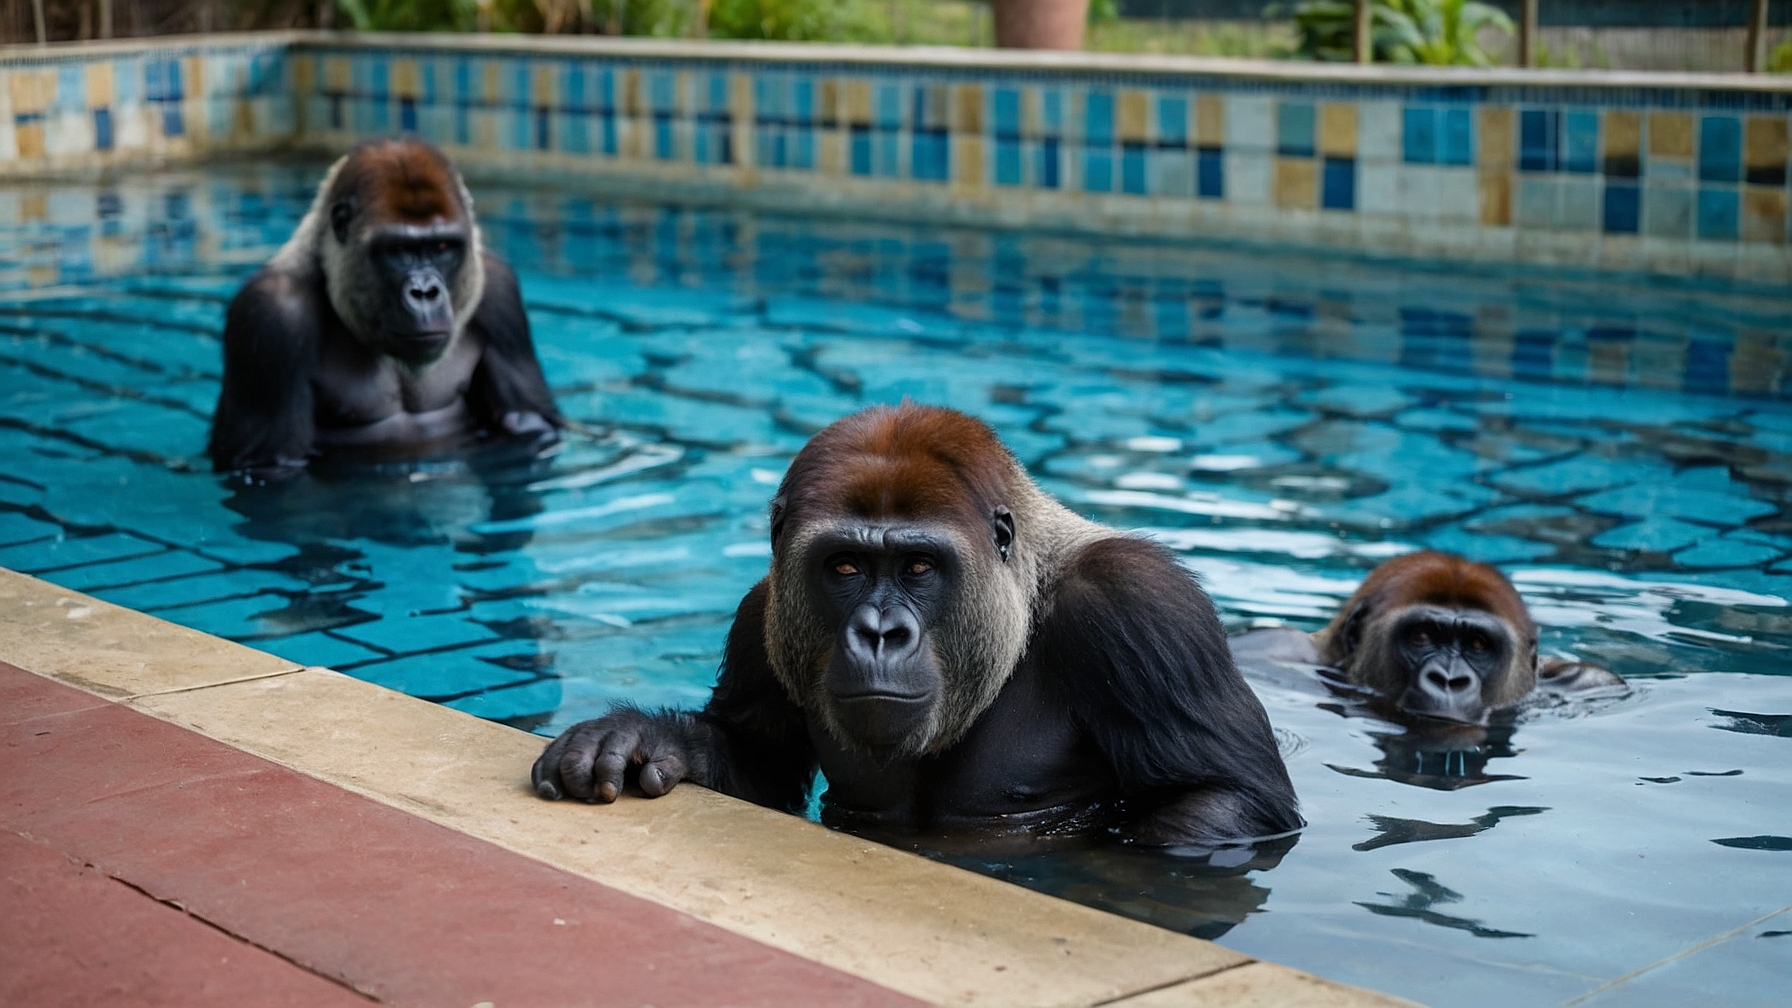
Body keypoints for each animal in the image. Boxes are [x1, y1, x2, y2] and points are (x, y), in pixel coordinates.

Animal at [207, 137, 559, 477]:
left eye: (441, 246)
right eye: (398, 250)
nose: (425, 292)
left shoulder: (499, 290)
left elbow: (530, 424)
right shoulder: (271, 314)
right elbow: (274, 466)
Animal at [530, 399, 1304, 839]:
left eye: (919, 568)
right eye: (845, 567)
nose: (879, 633)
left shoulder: (1140, 604)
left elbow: (1221, 804)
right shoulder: (762, 613)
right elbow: (759, 763)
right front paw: (647, 739)